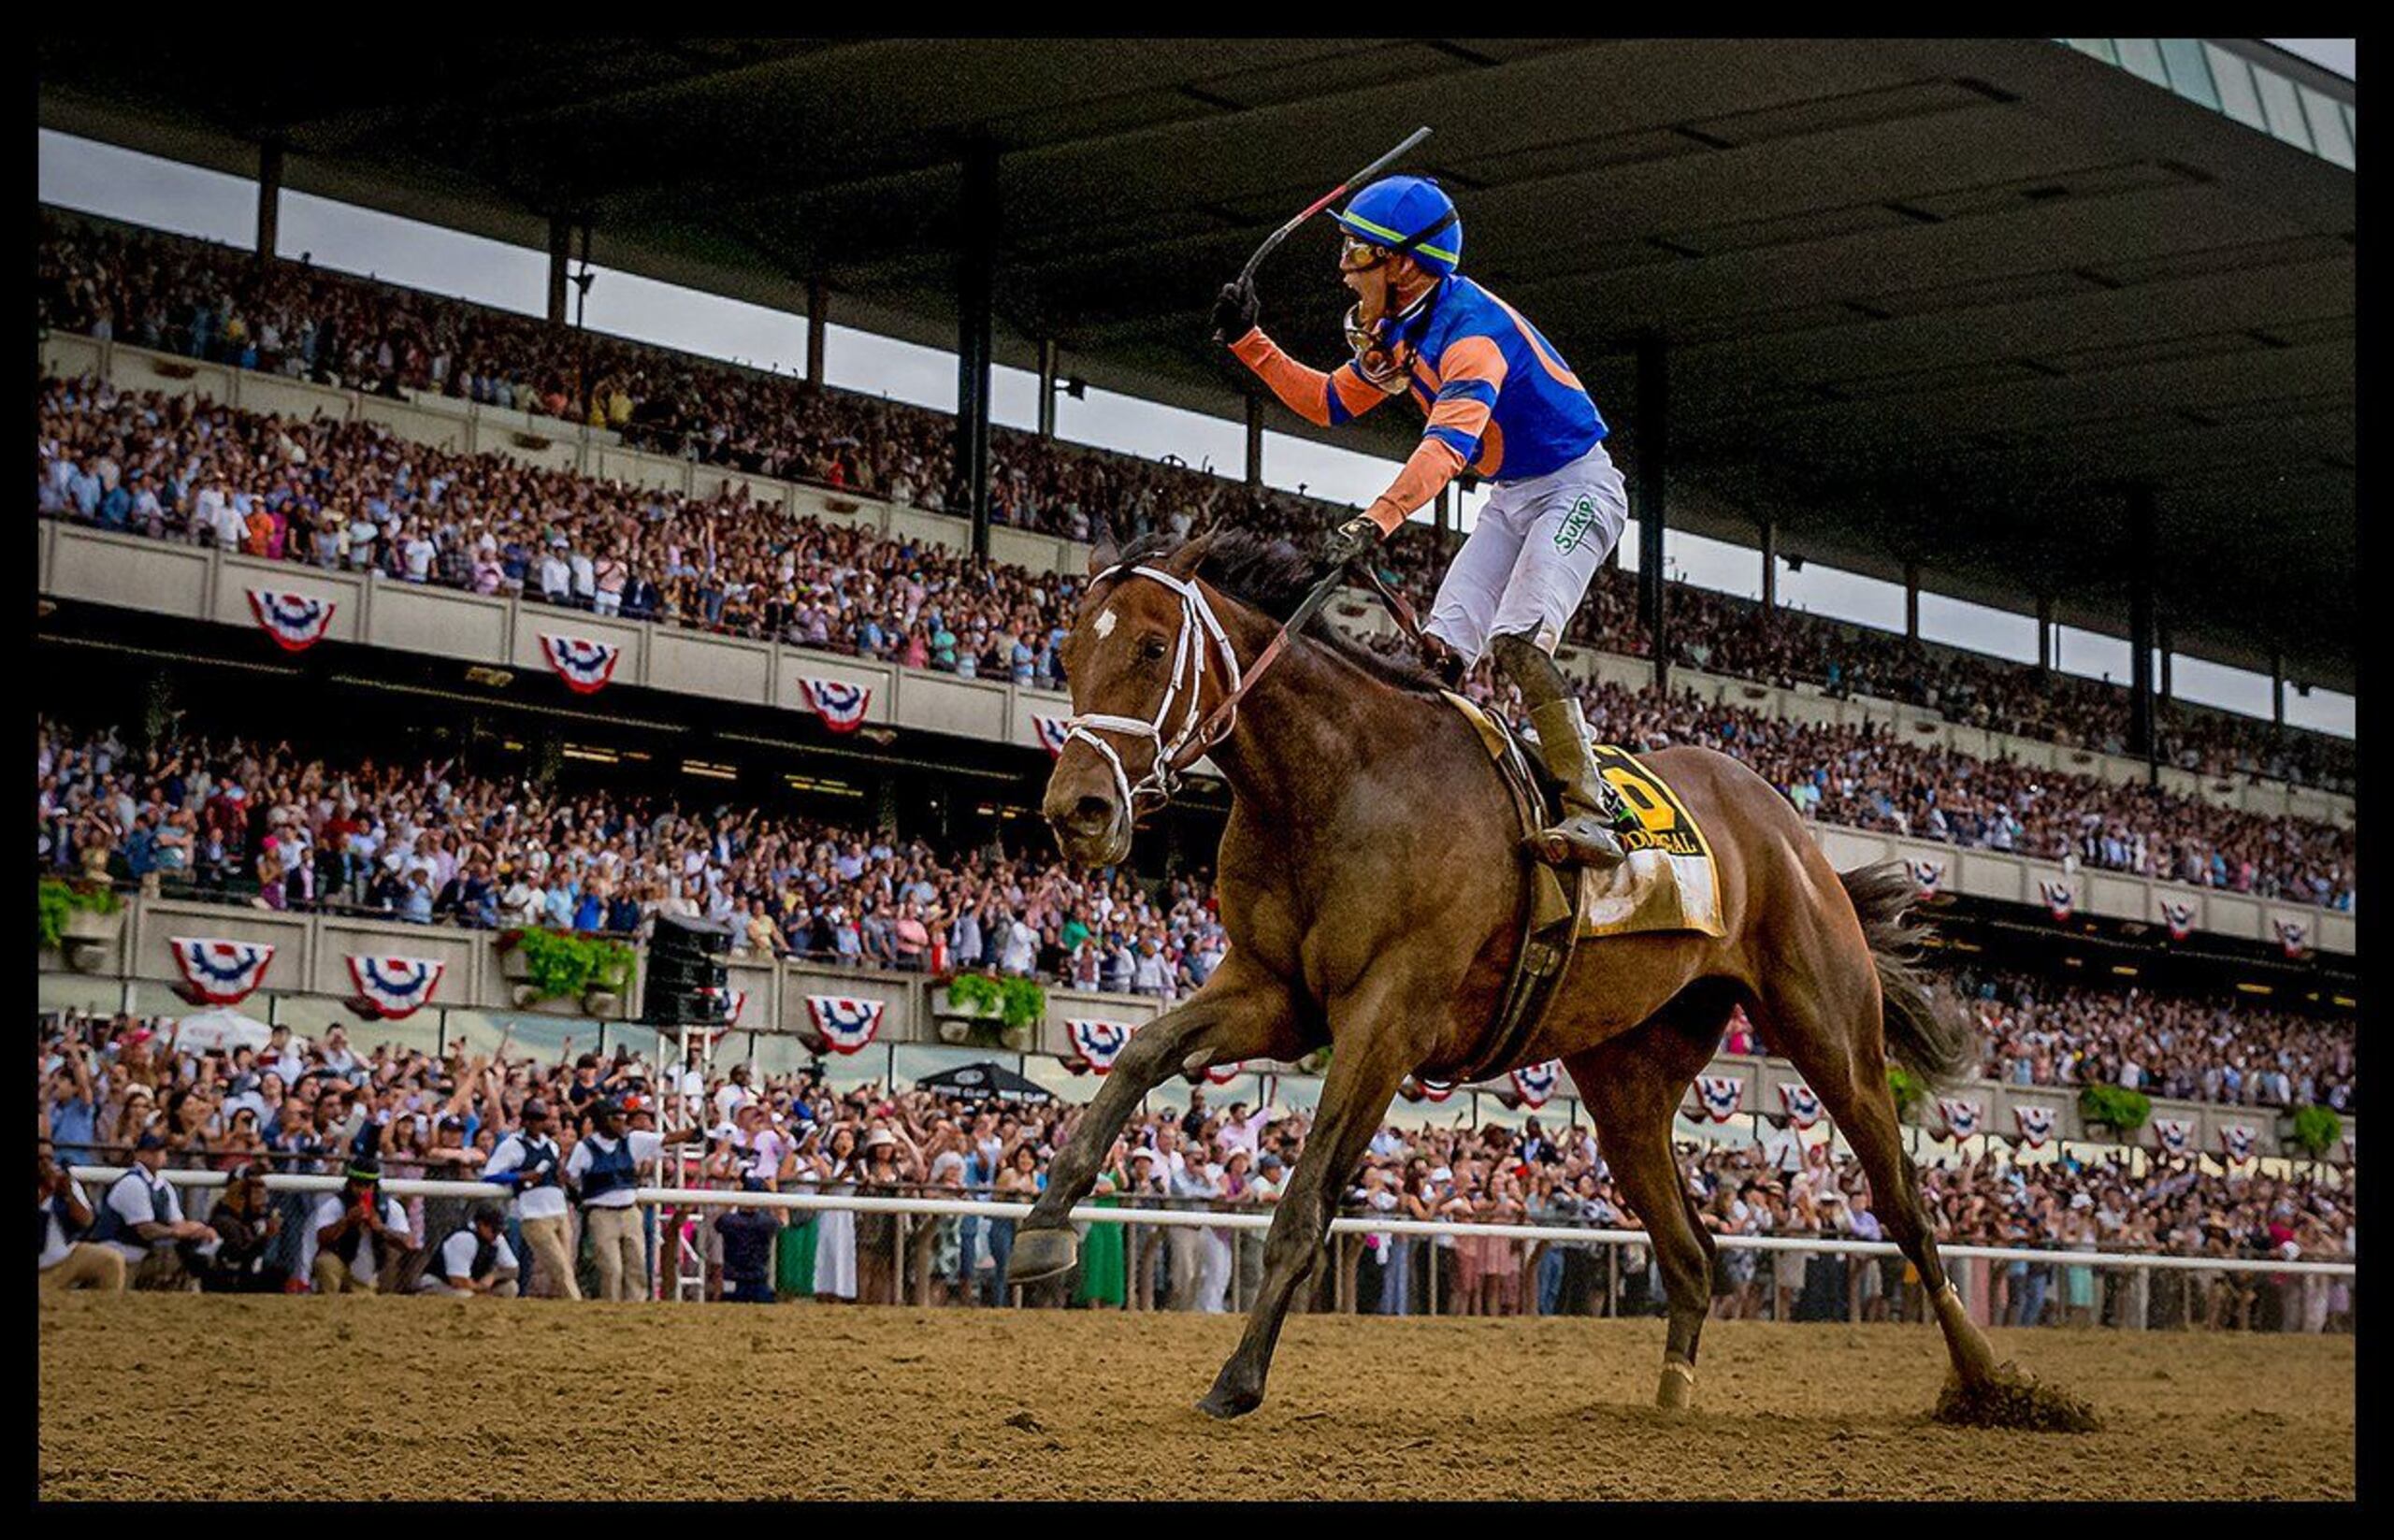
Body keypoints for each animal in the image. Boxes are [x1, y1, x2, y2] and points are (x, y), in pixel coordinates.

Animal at [1010, 524, 2078, 1427]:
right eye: (1066, 653)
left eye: (1153, 649)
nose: (1078, 811)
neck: (1339, 780)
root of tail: (1787, 823)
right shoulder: (1277, 993)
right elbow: (1140, 1053)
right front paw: (1044, 1227)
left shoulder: (1388, 1016)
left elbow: (1305, 1203)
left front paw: (1236, 1379)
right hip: (1627, 1079)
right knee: (1694, 1253)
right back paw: (1671, 1398)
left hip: (1828, 1030)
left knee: (1904, 1211)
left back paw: (1993, 1386)